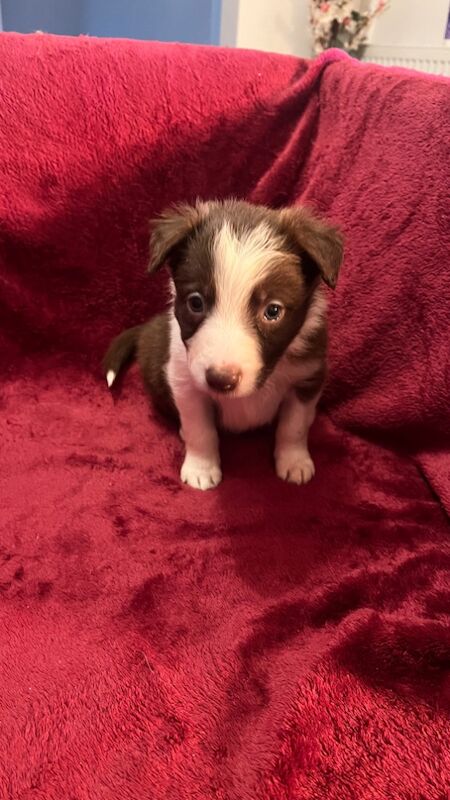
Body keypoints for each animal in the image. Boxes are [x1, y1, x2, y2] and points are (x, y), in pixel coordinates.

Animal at [103, 200, 342, 488]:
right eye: (196, 302)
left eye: (273, 311)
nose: (220, 380)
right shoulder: (185, 382)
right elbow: (200, 429)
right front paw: (201, 468)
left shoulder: (307, 377)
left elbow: (294, 427)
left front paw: (294, 462)